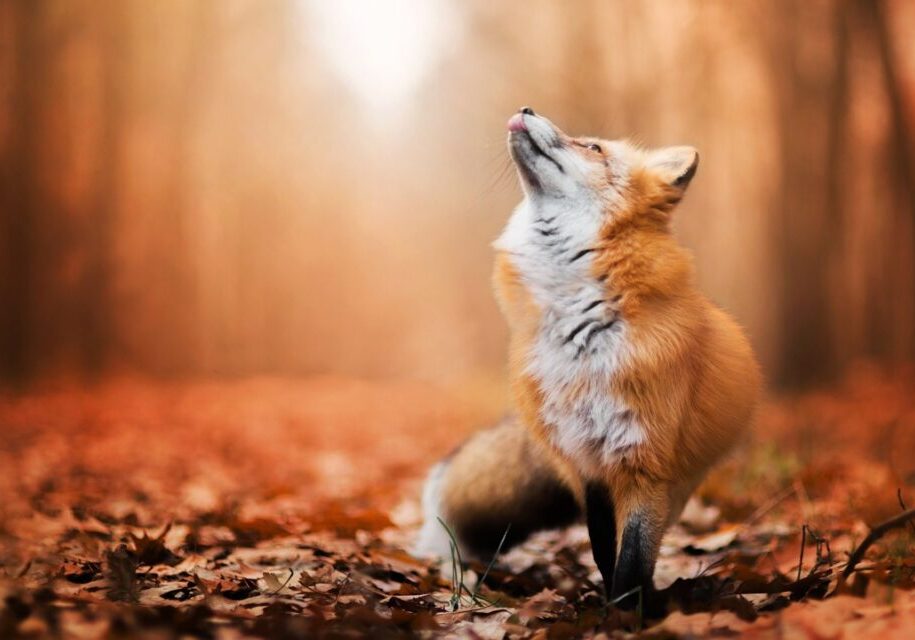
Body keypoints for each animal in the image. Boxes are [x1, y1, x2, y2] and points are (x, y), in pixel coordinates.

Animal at [414, 107, 762, 612]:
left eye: (593, 147)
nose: (526, 109)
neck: (580, 337)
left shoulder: (644, 462)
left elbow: (632, 558)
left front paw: (626, 615)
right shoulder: (584, 462)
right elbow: (603, 549)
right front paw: (612, 608)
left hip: (679, 481)